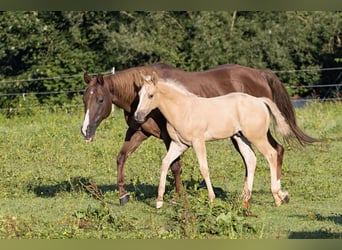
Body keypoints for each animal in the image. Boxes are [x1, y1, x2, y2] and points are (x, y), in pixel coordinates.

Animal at [81, 62, 316, 205]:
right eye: (84, 99)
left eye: (100, 100)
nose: (85, 131)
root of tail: (259, 73)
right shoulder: (138, 132)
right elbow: (122, 157)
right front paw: (123, 195)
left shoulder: (170, 138)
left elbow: (176, 166)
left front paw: (178, 197)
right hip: (239, 136)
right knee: (254, 158)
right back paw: (249, 196)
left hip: (255, 133)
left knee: (275, 151)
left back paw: (279, 194)